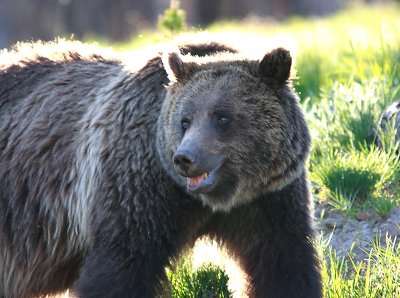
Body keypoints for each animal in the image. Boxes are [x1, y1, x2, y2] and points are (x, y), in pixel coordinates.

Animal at [0, 40, 320, 298]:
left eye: (222, 117)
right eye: (185, 120)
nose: (185, 158)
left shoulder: (267, 198)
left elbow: (282, 261)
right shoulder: (137, 189)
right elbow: (121, 265)